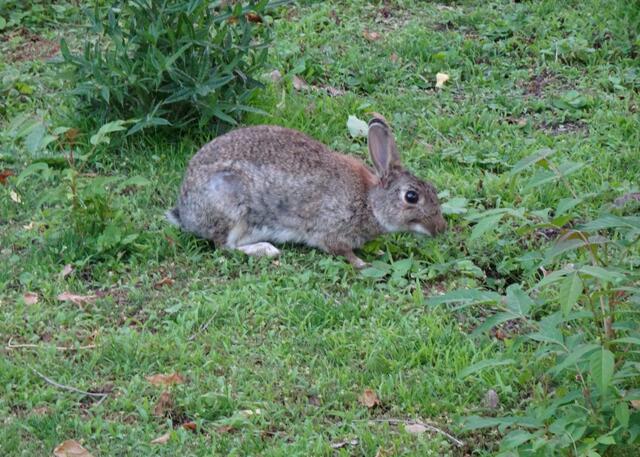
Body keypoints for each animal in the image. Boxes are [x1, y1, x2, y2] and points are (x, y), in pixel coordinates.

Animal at [166, 117, 446, 268]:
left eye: (433, 189)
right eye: (411, 197)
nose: (440, 228)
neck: (369, 201)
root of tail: (186, 211)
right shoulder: (332, 230)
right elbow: (342, 251)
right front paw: (362, 264)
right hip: (231, 208)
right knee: (224, 246)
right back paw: (267, 250)